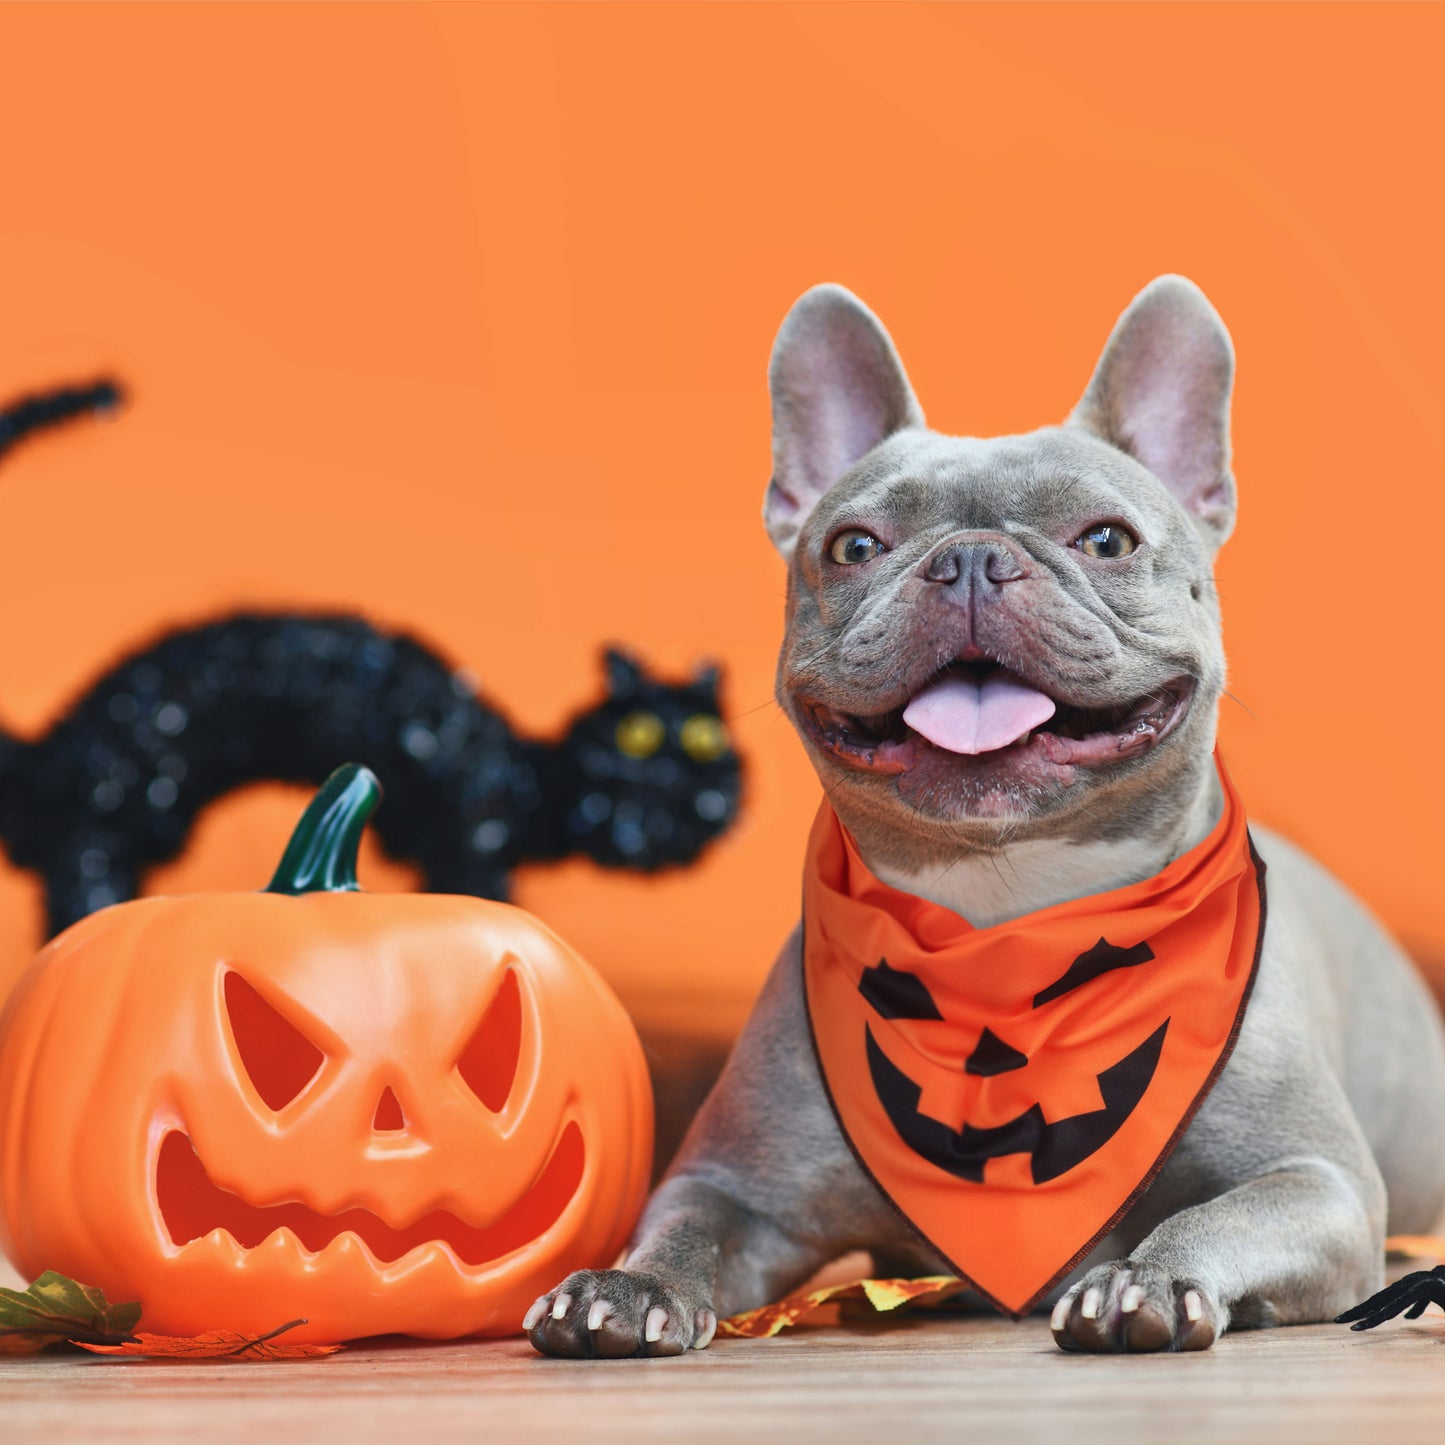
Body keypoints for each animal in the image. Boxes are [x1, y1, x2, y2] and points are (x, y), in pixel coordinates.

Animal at [525, 278, 1445, 1352]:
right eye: (852, 546)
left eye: (1106, 539)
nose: (967, 558)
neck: (1008, 918)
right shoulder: (732, 1181)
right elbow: (683, 1226)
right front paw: (624, 1286)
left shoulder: (1315, 1181)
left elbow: (1211, 1215)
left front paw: (1148, 1278)